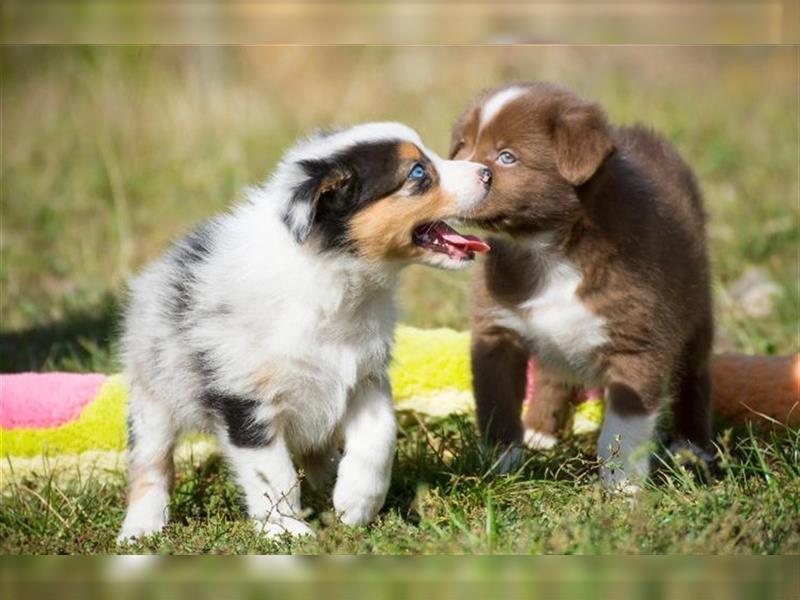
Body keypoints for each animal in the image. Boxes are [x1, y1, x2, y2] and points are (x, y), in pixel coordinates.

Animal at [450, 82, 712, 490]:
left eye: (507, 157)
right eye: (462, 146)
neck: (548, 252)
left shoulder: (637, 339)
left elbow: (625, 425)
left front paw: (621, 485)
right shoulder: (497, 328)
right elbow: (497, 402)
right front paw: (501, 465)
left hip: (697, 309)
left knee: (695, 377)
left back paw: (693, 447)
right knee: (552, 373)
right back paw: (539, 430)